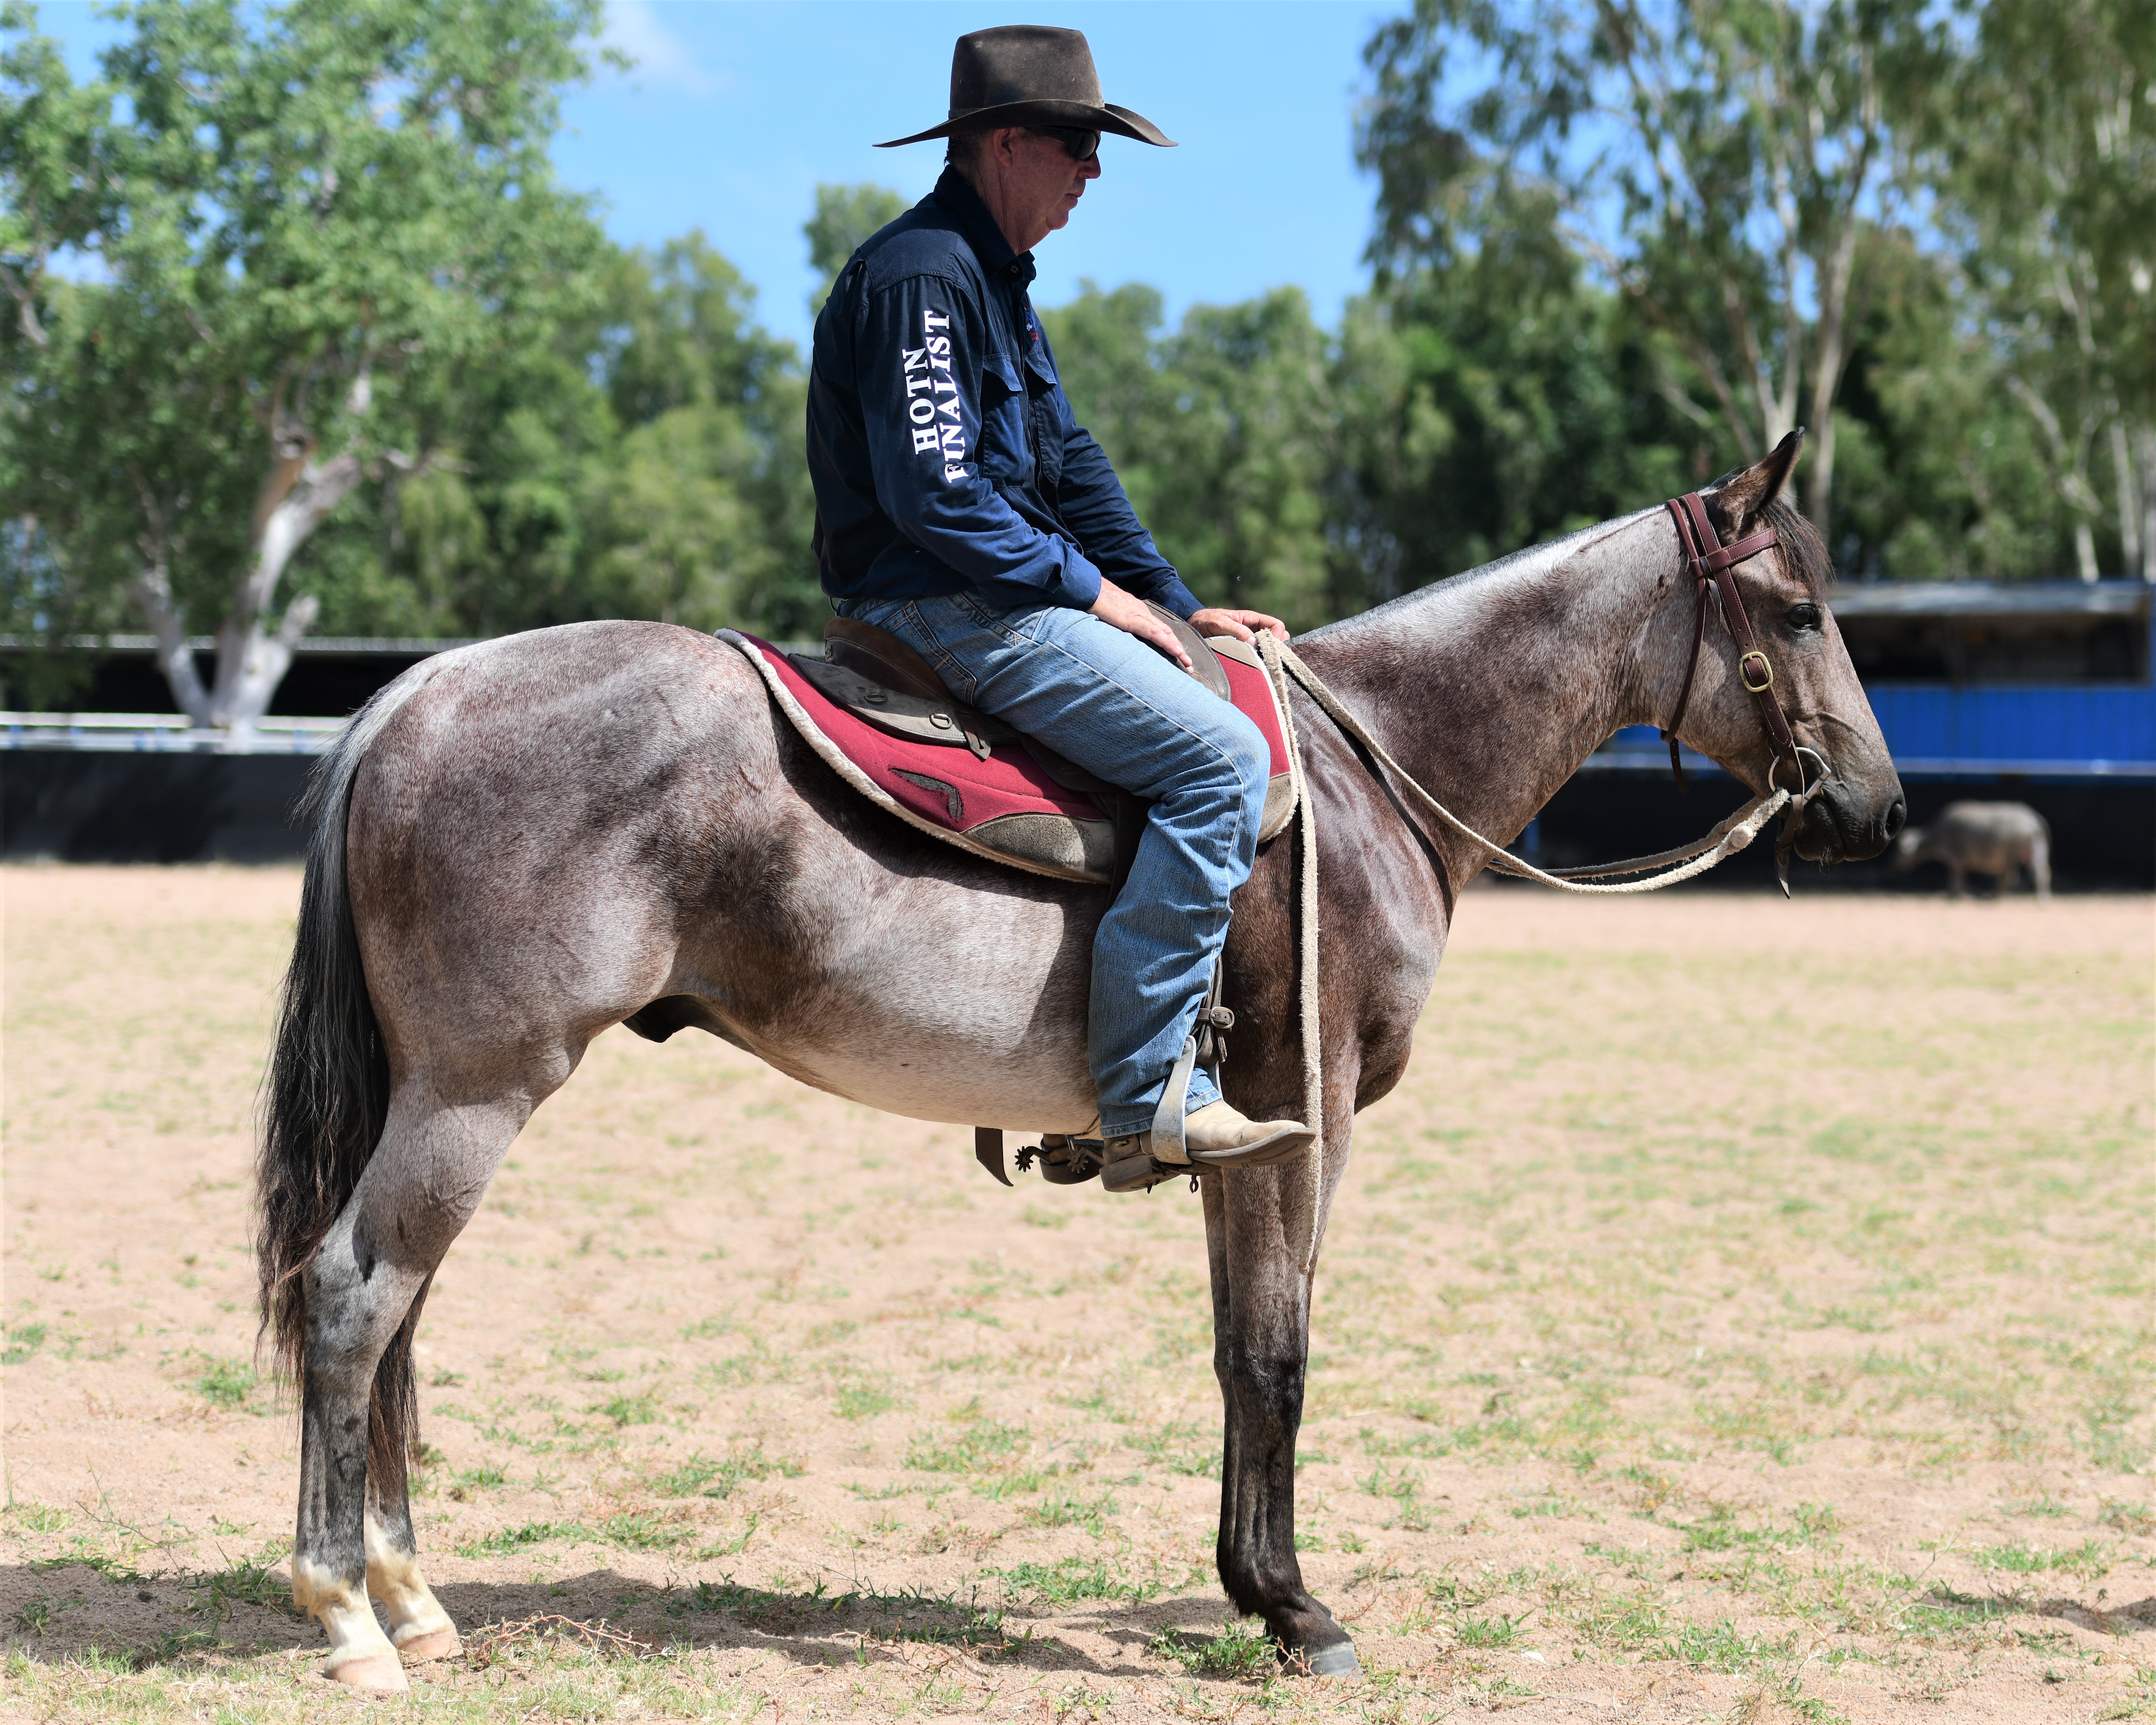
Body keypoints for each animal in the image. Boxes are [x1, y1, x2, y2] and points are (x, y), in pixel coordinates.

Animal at [256, 433, 1905, 1689]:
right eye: (1799, 611)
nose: (1874, 808)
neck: (1375, 770)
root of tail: (420, 690)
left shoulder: (1236, 1136)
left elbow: (1239, 1349)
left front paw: (1253, 1586)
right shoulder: (1302, 1116)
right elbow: (1280, 1352)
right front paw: (1297, 1608)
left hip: (447, 1095)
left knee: (396, 1314)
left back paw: (415, 1599)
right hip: (479, 1089)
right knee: (353, 1298)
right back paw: (350, 1618)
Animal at [1893, 801, 2052, 900]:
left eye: (1900, 850)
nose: (1893, 865)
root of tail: (2034, 819)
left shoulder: (1956, 859)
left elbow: (1956, 878)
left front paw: (1954, 896)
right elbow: (1962, 880)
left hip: (2012, 855)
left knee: (2015, 877)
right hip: (2035, 851)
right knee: (2040, 872)